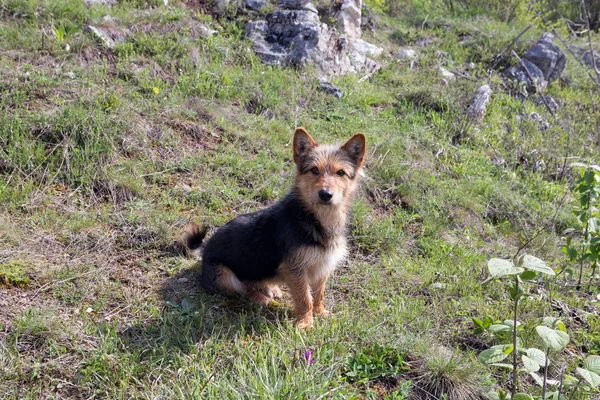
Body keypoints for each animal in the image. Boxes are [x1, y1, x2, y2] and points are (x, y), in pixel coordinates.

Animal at [184, 128, 366, 328]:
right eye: (314, 170)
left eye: (340, 173)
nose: (325, 194)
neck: (314, 218)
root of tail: (204, 250)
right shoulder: (296, 269)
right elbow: (305, 298)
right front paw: (305, 324)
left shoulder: (322, 265)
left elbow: (318, 294)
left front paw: (320, 312)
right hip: (223, 275)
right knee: (242, 289)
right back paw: (260, 297)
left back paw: (272, 288)